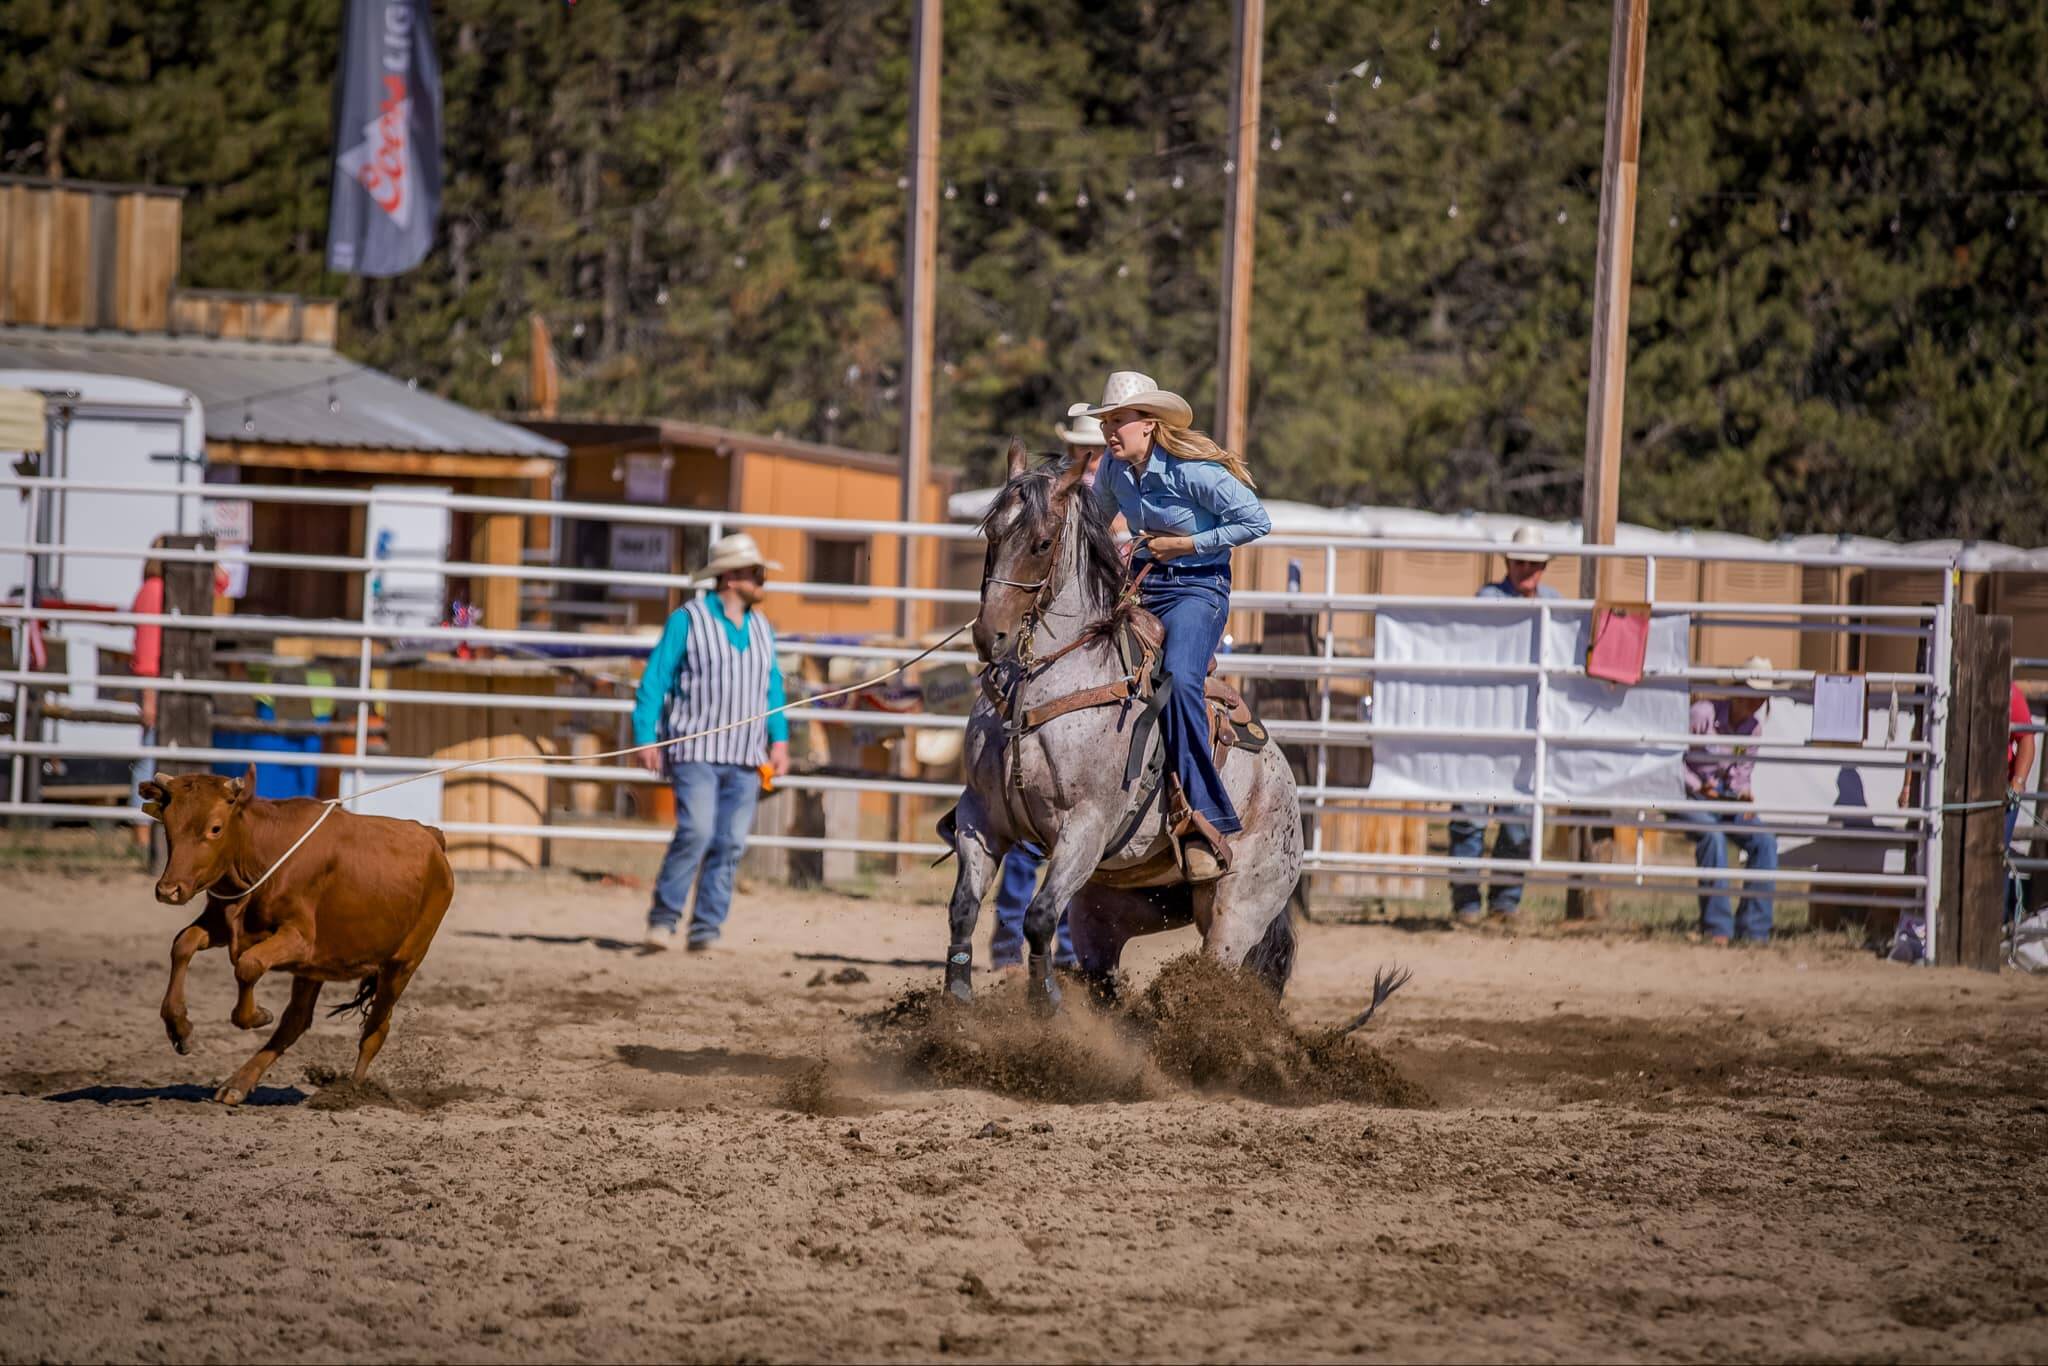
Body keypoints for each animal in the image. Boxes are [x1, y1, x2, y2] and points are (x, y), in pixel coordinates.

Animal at [139, 765, 452, 1105]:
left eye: (215, 828)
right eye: (168, 825)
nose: (169, 890)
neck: (264, 853)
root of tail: (430, 836)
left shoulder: (300, 941)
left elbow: (248, 965)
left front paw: (258, 1015)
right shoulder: (222, 924)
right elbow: (183, 944)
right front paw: (179, 1028)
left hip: (402, 964)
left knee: (375, 1029)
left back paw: (350, 1092)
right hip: (314, 971)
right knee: (297, 1020)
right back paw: (238, 1083)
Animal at [937, 444, 1302, 1011]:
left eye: (1042, 543)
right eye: (991, 534)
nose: (988, 635)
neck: (1040, 686)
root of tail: (1284, 784)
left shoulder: (1085, 825)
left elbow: (1039, 917)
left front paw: (1047, 1006)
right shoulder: (981, 816)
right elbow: (963, 908)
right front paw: (956, 1002)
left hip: (1238, 911)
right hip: (1110, 904)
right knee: (1102, 971)